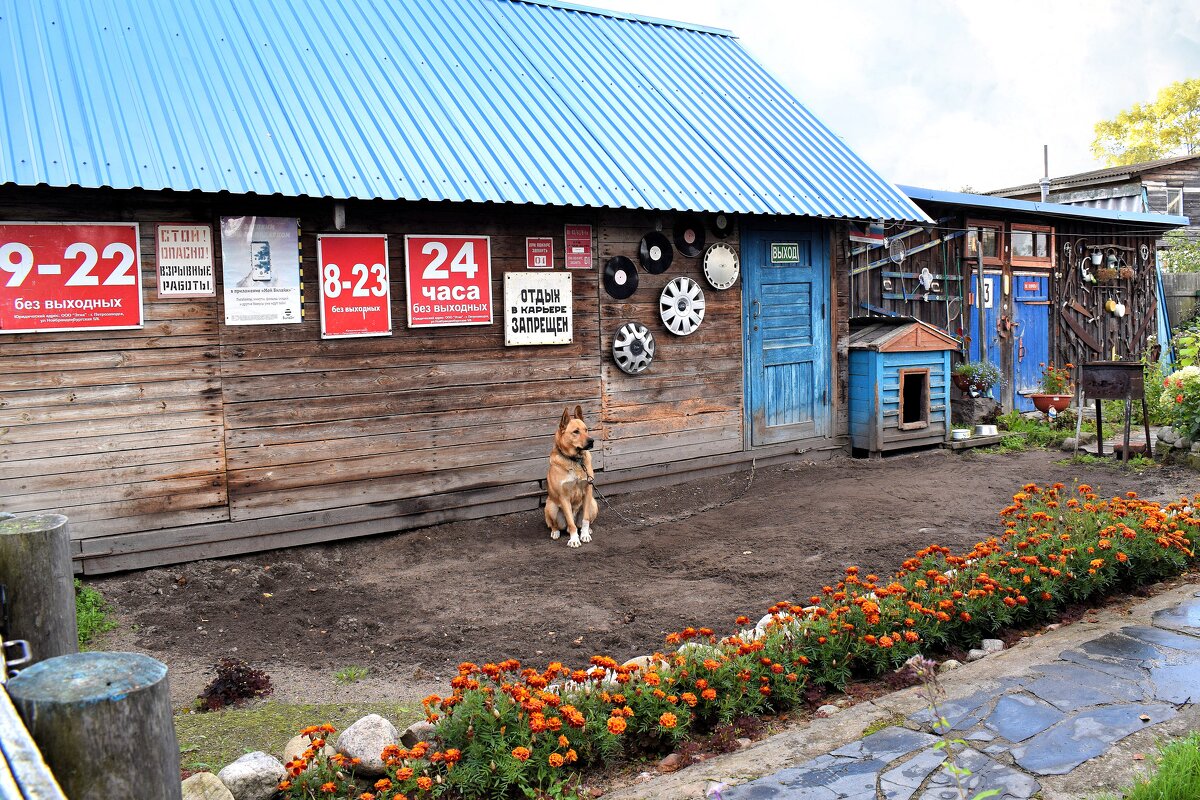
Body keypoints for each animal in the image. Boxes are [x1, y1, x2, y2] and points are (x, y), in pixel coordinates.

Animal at [547, 402, 597, 546]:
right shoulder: (563, 497)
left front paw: (584, 535)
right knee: (556, 525)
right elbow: (571, 523)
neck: (575, 460)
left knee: (584, 521)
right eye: (576, 432)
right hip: (550, 507)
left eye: (586, 430)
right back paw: (555, 532)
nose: (592, 441)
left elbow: (585, 519)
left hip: (593, 504)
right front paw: (574, 539)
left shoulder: (588, 491)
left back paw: (588, 530)